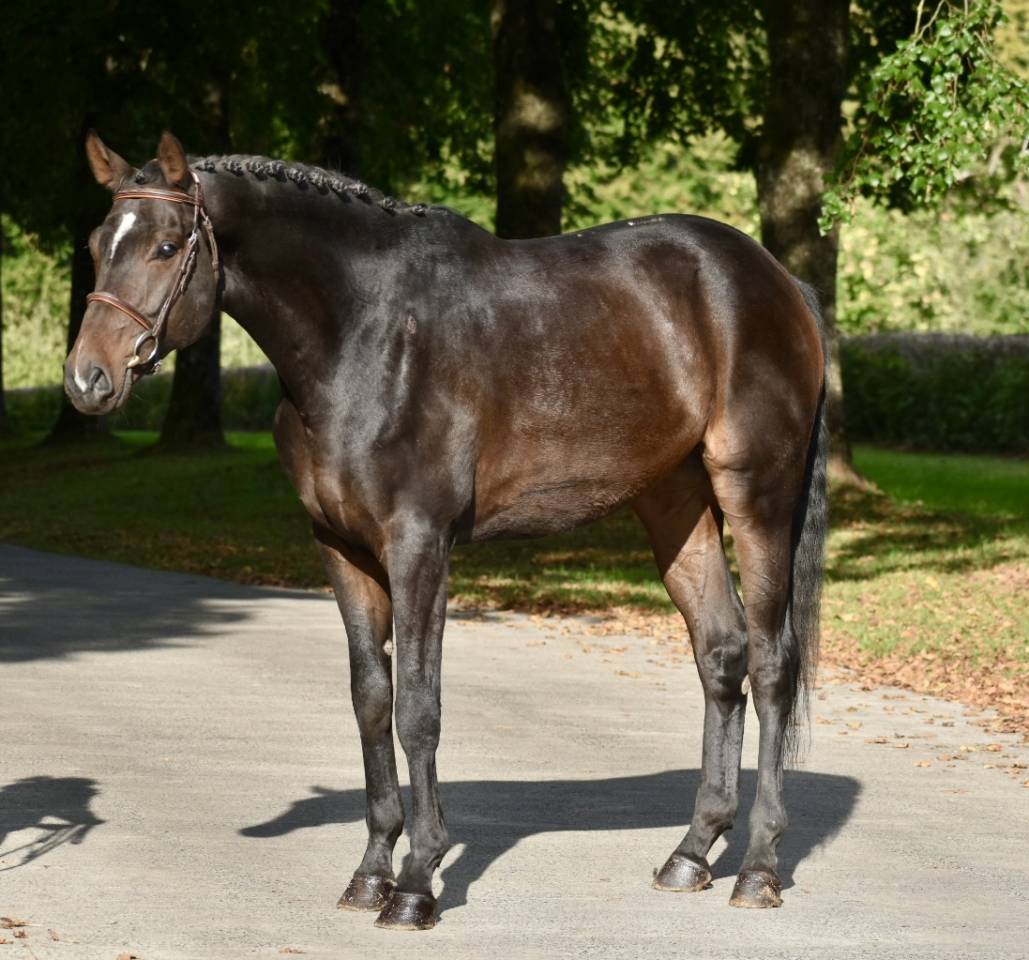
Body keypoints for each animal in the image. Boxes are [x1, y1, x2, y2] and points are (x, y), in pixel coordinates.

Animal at [65, 131, 828, 931]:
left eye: (166, 245)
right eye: (96, 243)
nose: (87, 379)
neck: (364, 334)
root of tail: (780, 283)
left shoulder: (419, 545)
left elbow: (417, 709)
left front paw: (416, 884)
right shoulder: (341, 549)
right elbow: (371, 700)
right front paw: (371, 872)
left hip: (756, 494)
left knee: (771, 663)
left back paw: (758, 868)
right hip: (673, 501)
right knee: (721, 652)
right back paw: (691, 853)